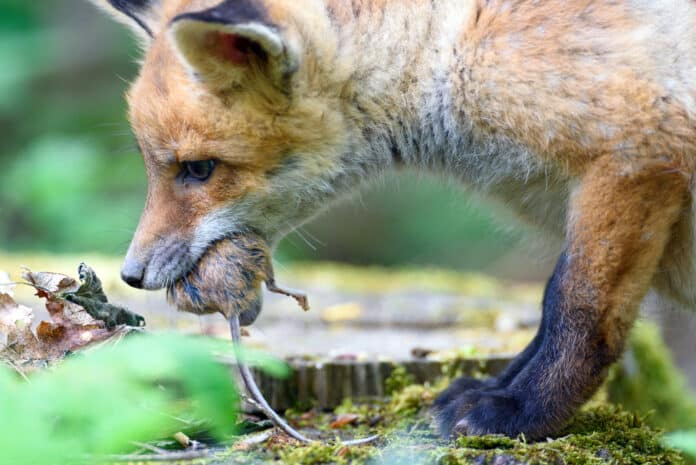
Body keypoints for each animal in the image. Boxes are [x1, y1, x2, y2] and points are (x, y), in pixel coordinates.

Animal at [91, 0, 696, 439]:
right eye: (153, 166)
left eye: (198, 169)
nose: (131, 275)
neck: (449, 48)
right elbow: (548, 319)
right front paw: (497, 390)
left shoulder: (637, 152)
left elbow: (575, 310)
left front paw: (522, 412)